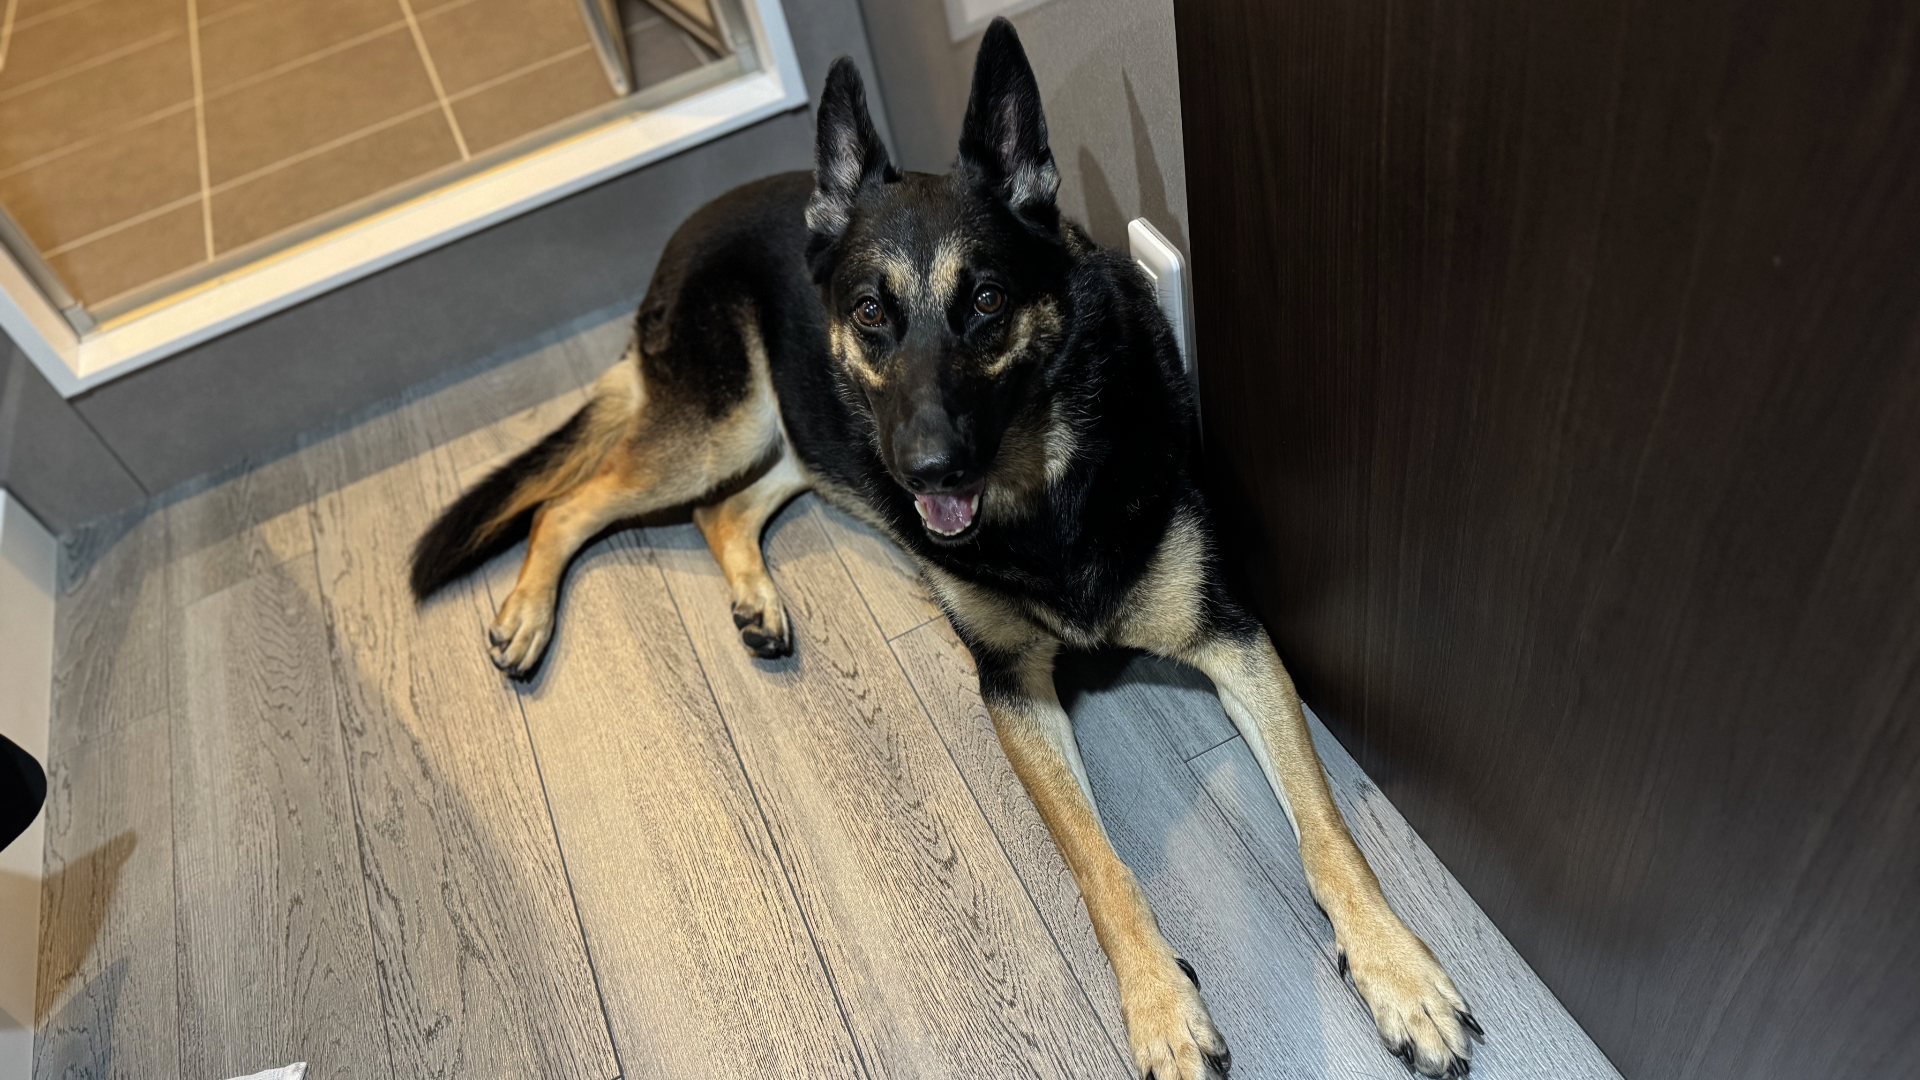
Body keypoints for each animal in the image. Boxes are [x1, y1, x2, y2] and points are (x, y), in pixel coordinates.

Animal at [410, 19, 1479, 1079]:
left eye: (990, 301)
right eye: (872, 311)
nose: (931, 470)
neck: (1044, 487)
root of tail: (689, 230)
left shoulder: (1234, 641)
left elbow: (1327, 830)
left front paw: (1396, 969)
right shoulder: (1013, 691)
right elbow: (1100, 869)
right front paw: (1161, 1009)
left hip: (806, 437)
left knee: (720, 510)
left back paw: (754, 599)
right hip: (735, 425)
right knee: (571, 505)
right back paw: (524, 617)